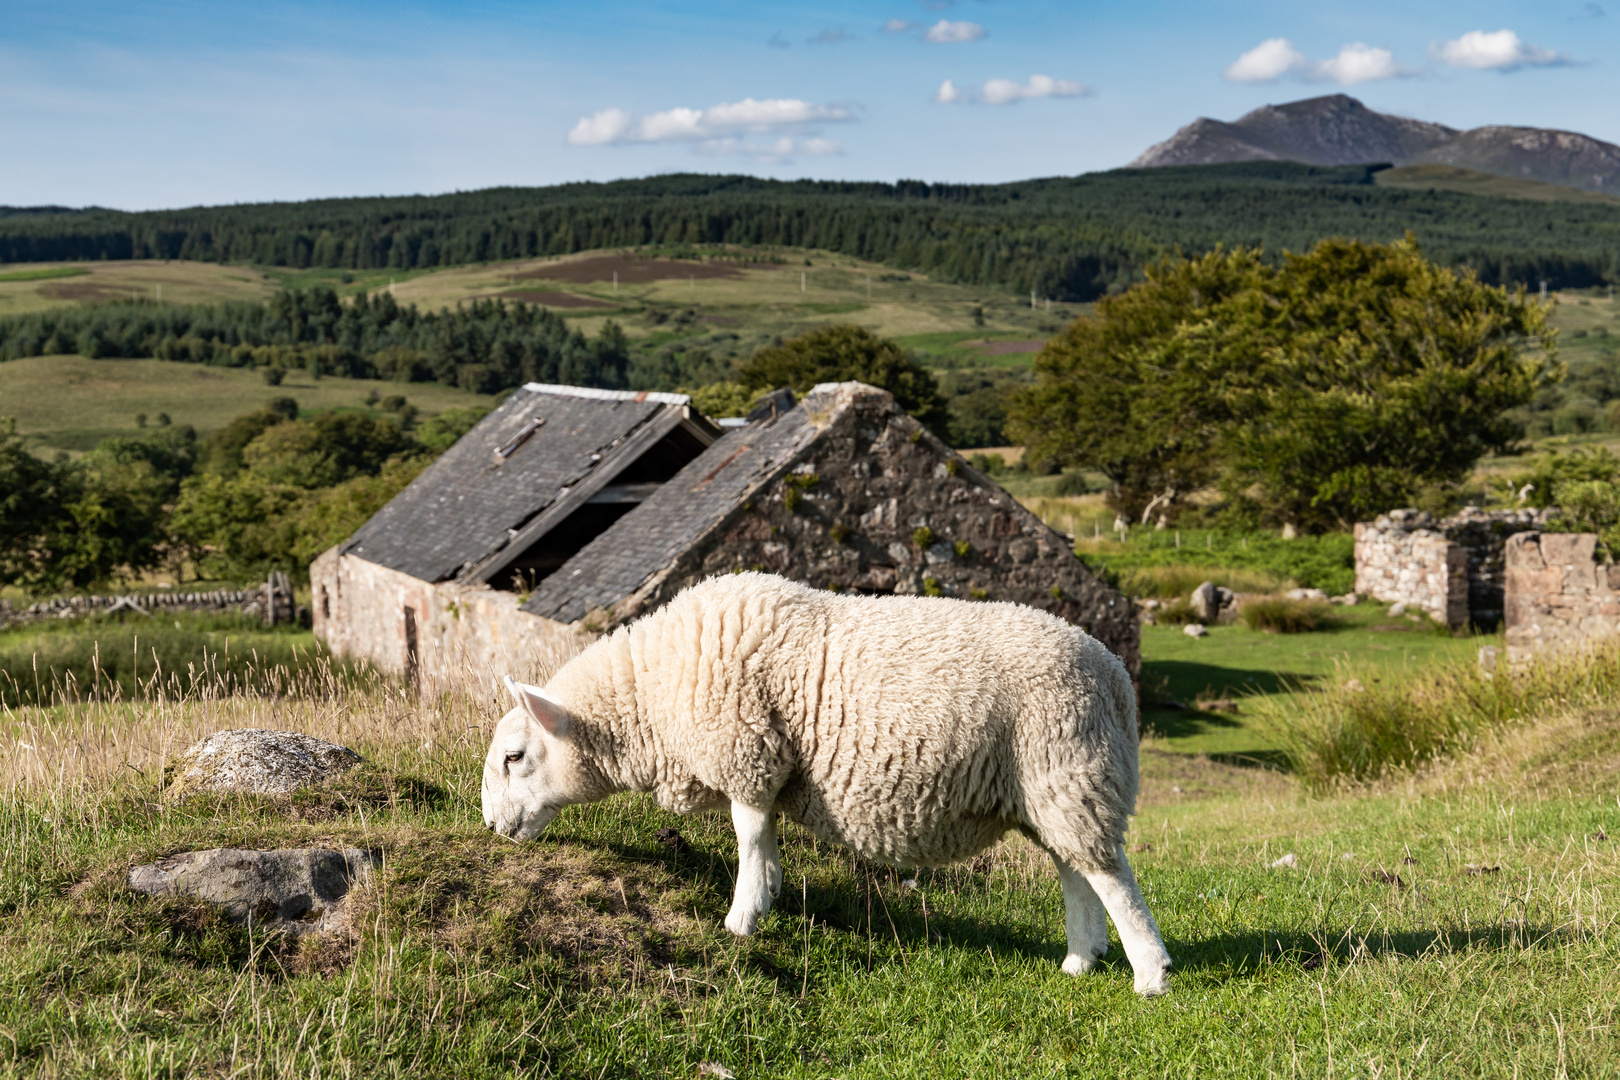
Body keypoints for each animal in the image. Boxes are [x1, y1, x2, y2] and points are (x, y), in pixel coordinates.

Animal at [482, 573, 1179, 997]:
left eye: (515, 757)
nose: (492, 825)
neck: (651, 693)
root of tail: (1115, 675)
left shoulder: (746, 750)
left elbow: (749, 837)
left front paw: (741, 918)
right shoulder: (762, 762)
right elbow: (762, 840)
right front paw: (763, 900)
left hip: (1069, 766)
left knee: (1112, 878)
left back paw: (1150, 975)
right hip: (1049, 790)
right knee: (1076, 871)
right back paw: (1081, 958)